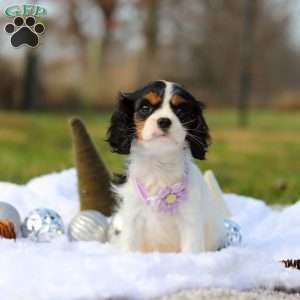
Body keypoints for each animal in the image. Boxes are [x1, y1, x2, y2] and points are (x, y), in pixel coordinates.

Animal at [107, 80, 227, 253]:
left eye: (181, 111)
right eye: (145, 108)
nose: (164, 120)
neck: (160, 162)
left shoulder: (190, 219)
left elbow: (191, 250)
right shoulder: (132, 216)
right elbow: (130, 246)